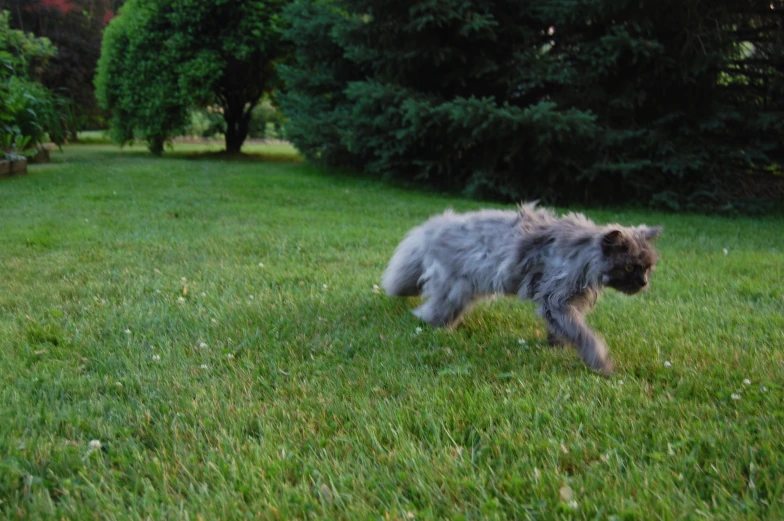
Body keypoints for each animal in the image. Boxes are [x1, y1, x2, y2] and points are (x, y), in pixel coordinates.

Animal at [382, 203, 660, 374]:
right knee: (432, 311)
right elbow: (582, 333)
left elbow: (562, 329)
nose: (644, 283)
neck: (584, 254)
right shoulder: (556, 300)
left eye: (648, 268)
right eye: (629, 268)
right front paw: (599, 360)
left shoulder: (563, 304)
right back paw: (436, 328)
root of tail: (433, 227)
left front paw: (557, 345)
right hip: (455, 290)